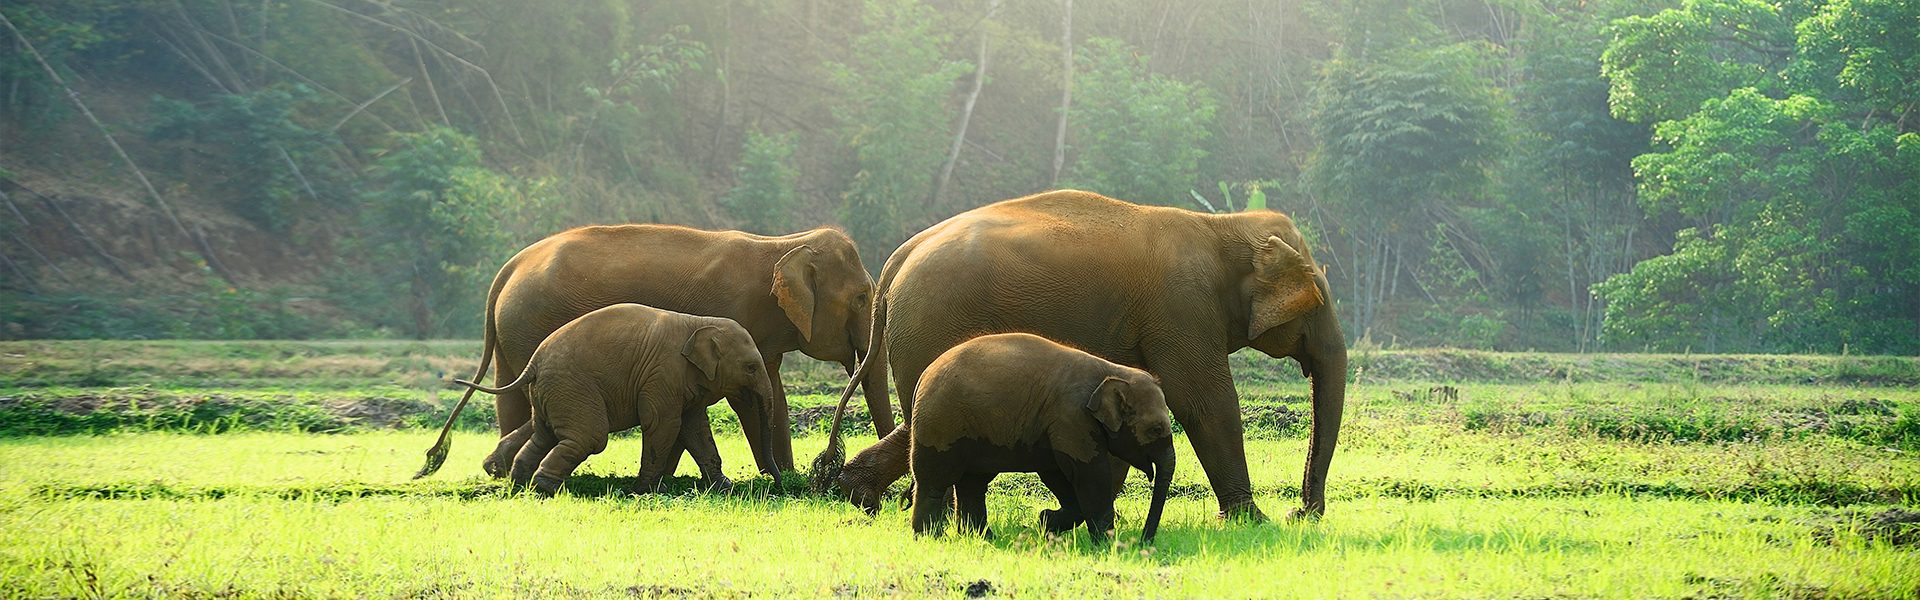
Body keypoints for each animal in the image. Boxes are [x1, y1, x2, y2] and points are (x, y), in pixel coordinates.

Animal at [440, 303, 781, 496]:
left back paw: (520, 485)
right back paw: (544, 489)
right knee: (590, 437)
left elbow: (695, 429)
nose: (776, 485)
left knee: (543, 434)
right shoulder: (662, 375)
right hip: (572, 387)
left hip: (550, 392)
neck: (697, 322)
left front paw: (725, 488)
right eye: (751, 367)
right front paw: (646, 492)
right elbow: (663, 425)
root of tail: (533, 364)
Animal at [815, 189, 1346, 521]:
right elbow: (1204, 402)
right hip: (931, 324)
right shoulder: (1182, 308)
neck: (1223, 228)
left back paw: (858, 494)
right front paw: (1251, 521)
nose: (1302, 512)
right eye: (1317, 299)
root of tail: (896, 261)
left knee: (918, 421)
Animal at [905, 333, 1175, 545]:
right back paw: (930, 538)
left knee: (973, 484)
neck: (1113, 371)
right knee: (934, 479)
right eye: (1156, 429)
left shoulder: (1056, 426)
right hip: (941, 424)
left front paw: (1046, 522)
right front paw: (1104, 545)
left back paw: (982, 538)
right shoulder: (1071, 417)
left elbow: (1056, 473)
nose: (1144, 542)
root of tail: (923, 375)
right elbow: (1089, 473)